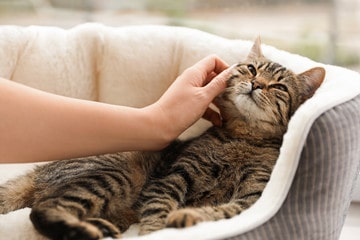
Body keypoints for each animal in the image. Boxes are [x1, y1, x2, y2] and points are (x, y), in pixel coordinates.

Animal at [0, 38, 326, 240]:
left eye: (279, 87)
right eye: (251, 69)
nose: (256, 83)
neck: (241, 139)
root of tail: (38, 171)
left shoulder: (253, 196)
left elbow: (222, 211)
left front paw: (189, 217)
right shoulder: (174, 175)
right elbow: (159, 209)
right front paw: (159, 229)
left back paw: (96, 228)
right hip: (116, 174)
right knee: (43, 210)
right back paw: (84, 230)